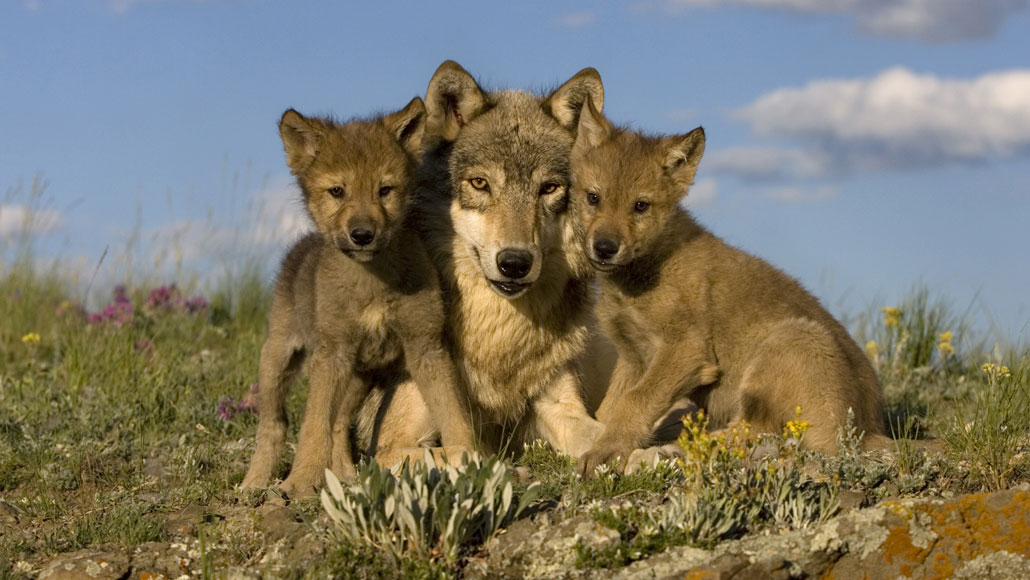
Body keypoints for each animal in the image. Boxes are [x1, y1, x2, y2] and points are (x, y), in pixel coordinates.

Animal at [240, 98, 476, 497]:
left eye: (385, 190)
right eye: (338, 191)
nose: (362, 234)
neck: (372, 283)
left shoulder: (426, 345)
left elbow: (454, 414)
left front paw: (473, 459)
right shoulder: (331, 353)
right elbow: (312, 427)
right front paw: (300, 481)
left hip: (359, 378)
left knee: (337, 424)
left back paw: (345, 475)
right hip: (278, 359)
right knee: (274, 425)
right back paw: (254, 483)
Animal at [369, 61, 611, 463]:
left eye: (548, 188)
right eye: (480, 183)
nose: (514, 263)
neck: (498, 338)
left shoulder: (558, 405)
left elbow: (609, 433)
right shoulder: (389, 445)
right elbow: (465, 452)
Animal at [567, 98, 889, 475]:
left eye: (641, 206)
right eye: (593, 198)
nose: (604, 247)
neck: (646, 272)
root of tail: (869, 431)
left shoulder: (686, 350)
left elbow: (635, 401)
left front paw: (606, 452)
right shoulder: (633, 356)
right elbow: (609, 408)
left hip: (793, 339)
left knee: (760, 433)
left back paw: (675, 448)